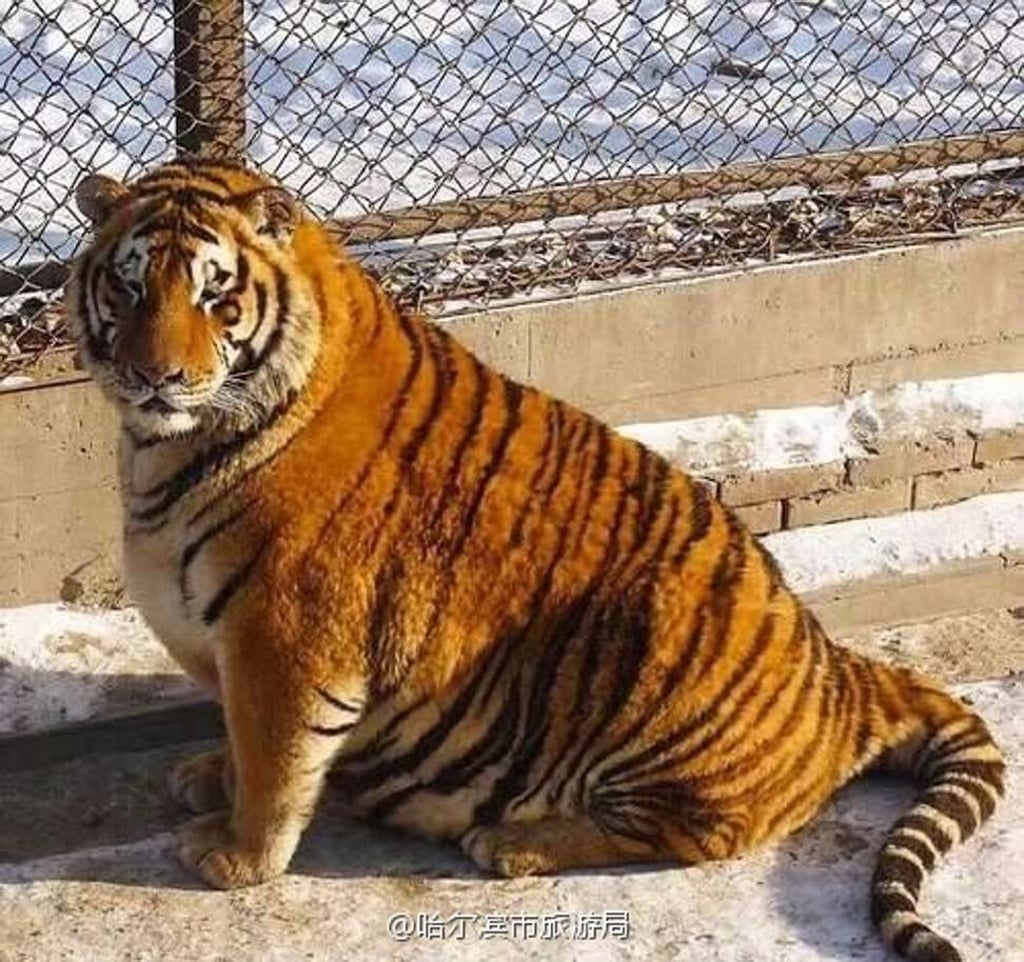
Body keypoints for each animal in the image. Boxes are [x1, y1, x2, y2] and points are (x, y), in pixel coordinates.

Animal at [64, 156, 1004, 962]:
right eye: (130, 284)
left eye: (215, 296)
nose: (156, 376)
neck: (164, 448)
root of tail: (841, 673)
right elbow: (236, 732)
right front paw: (208, 776)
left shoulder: (286, 639)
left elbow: (273, 760)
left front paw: (236, 858)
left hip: (658, 651)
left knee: (699, 834)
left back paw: (511, 842)